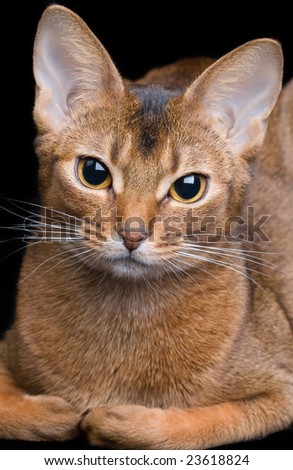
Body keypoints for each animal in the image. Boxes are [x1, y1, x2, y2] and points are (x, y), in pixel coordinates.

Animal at [0, 5, 292, 450]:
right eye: (93, 172)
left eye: (189, 187)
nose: (133, 234)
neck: (126, 315)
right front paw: (55, 413)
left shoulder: (282, 388)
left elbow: (200, 425)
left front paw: (116, 421)